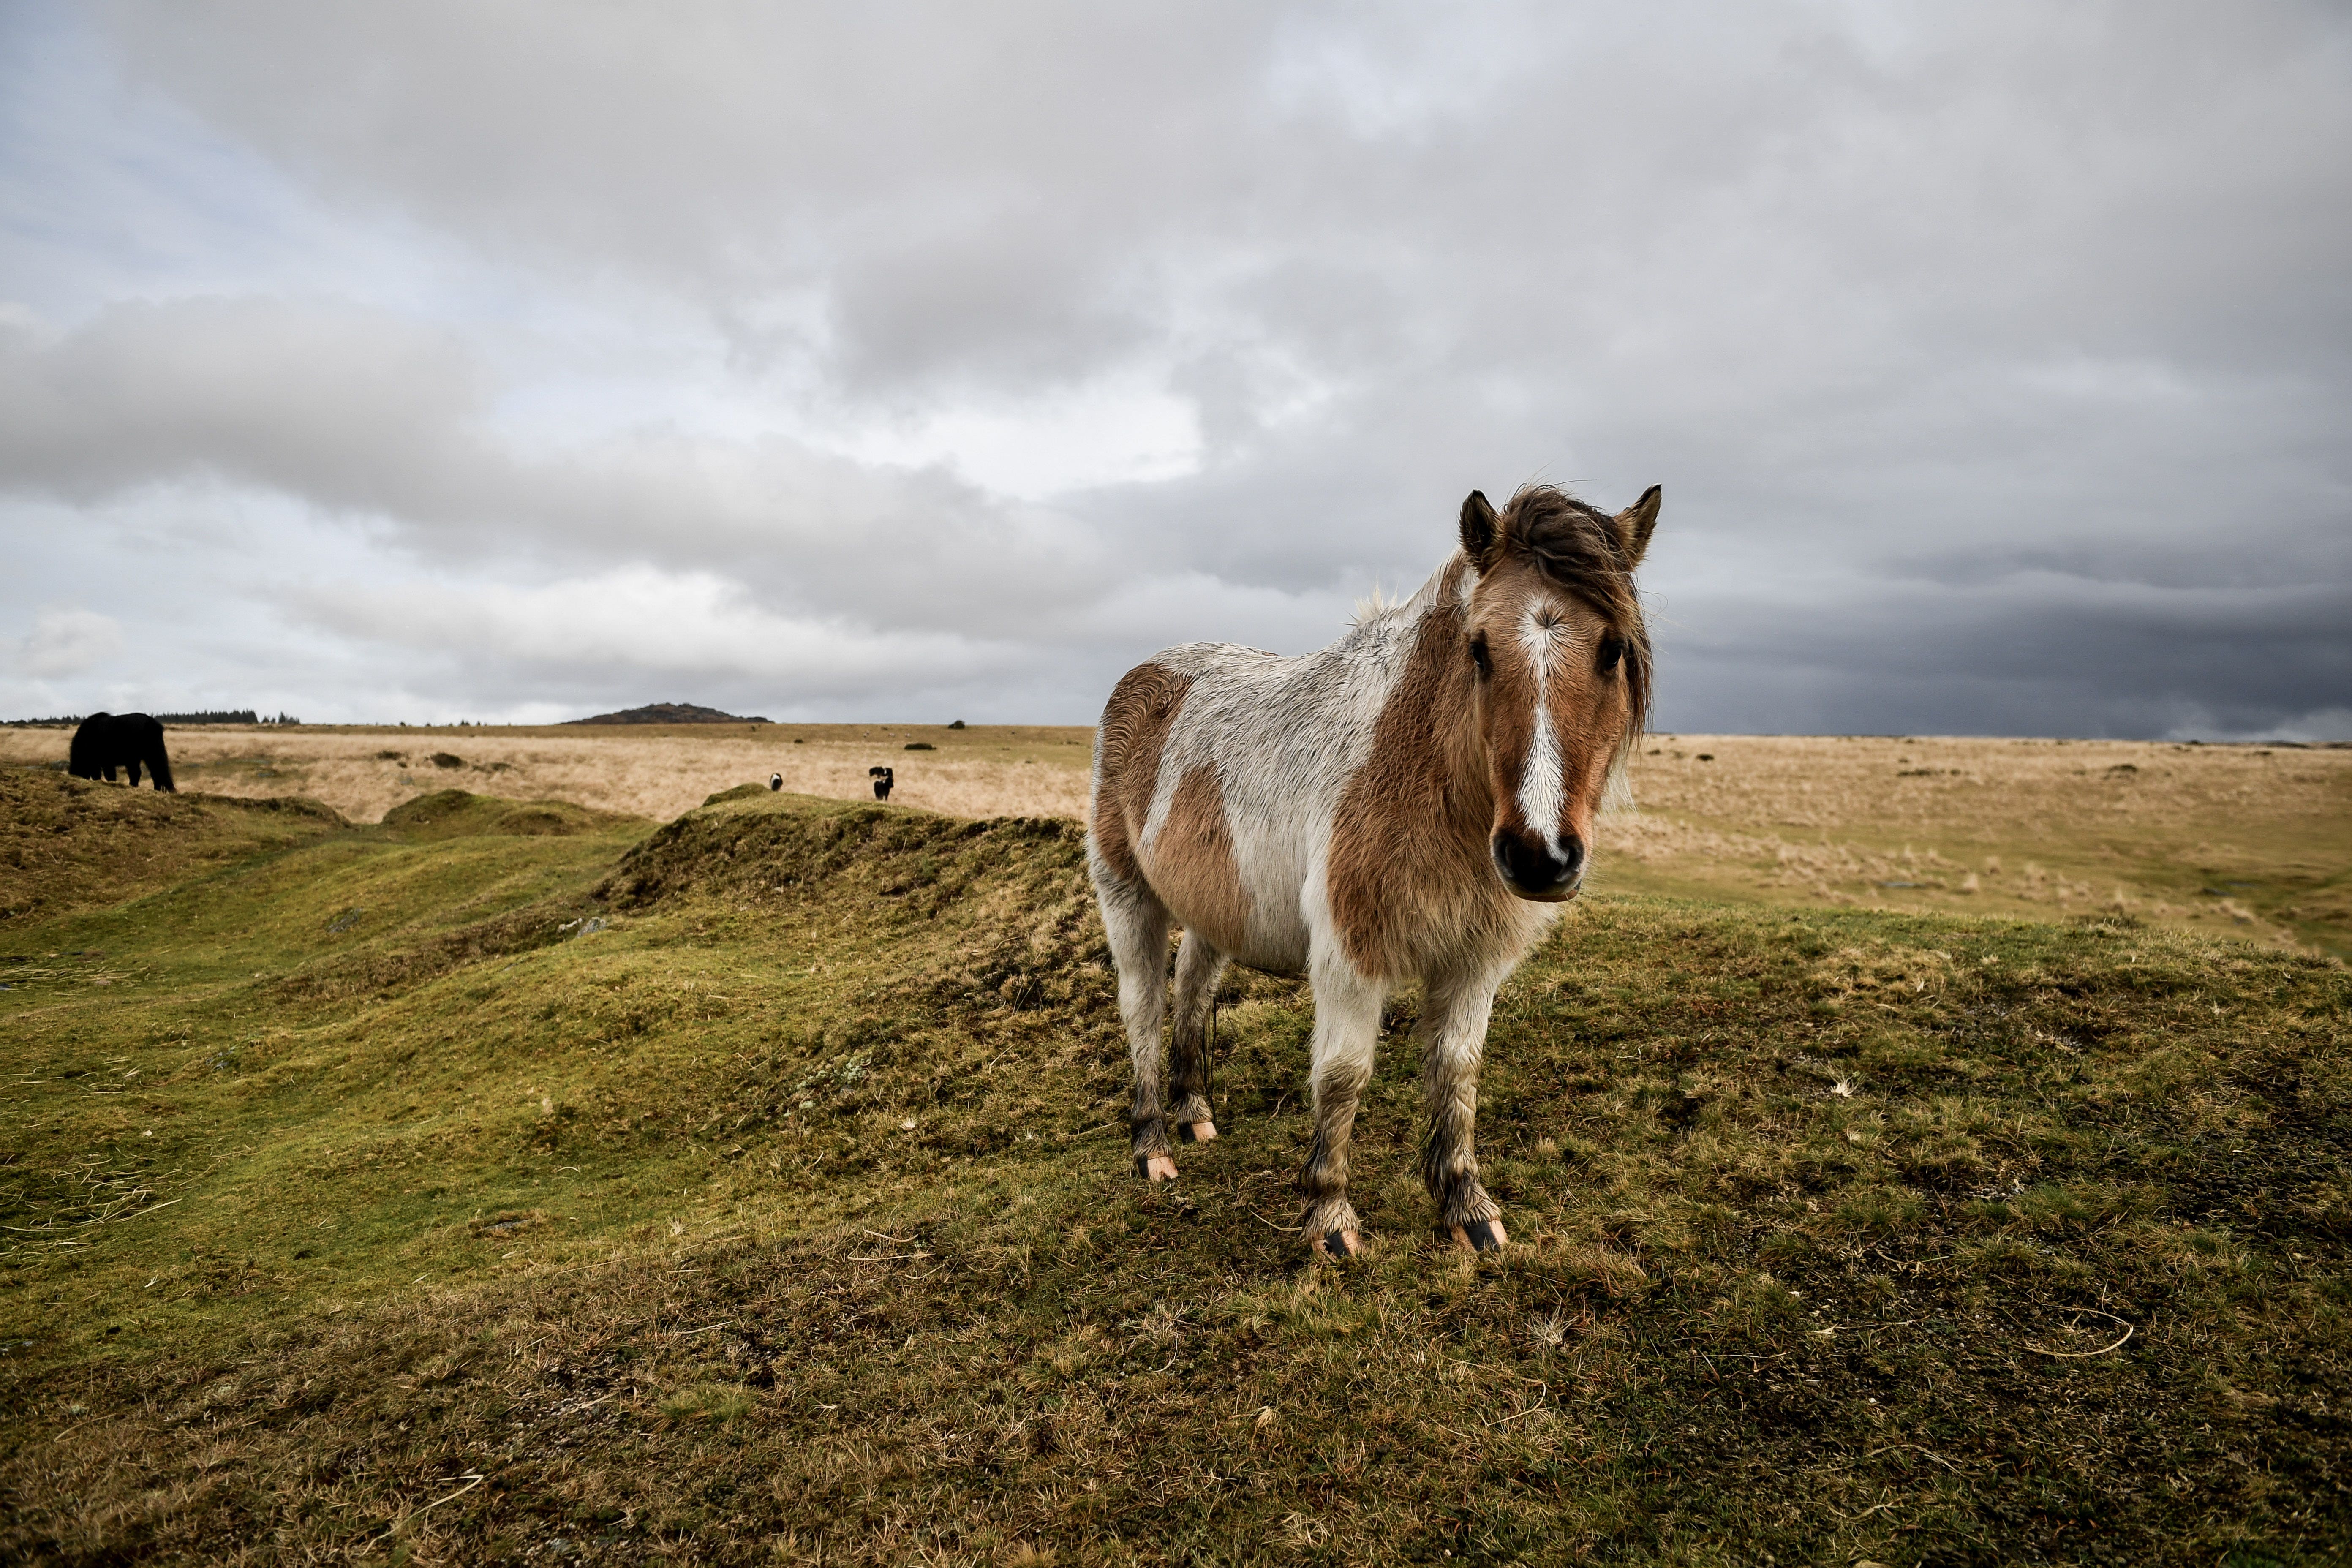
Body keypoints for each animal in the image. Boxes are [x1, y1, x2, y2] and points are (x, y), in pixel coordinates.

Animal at [68, 714, 174, 789]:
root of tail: (153, 724)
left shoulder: (102, 762)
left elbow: (104, 776)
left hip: (135, 758)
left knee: (139, 773)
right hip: (151, 755)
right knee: (156, 773)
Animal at [1082, 487, 1655, 1260]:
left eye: (1611, 648)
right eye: (1479, 648)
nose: (1539, 855)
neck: (1427, 772)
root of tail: (1146, 674)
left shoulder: (1475, 961)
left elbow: (1457, 1071)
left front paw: (1467, 1205)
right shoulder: (1351, 956)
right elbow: (1342, 1077)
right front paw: (1329, 1215)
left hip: (1218, 908)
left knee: (1193, 989)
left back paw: (1195, 1112)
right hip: (1128, 896)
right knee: (1143, 1005)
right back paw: (1153, 1146)